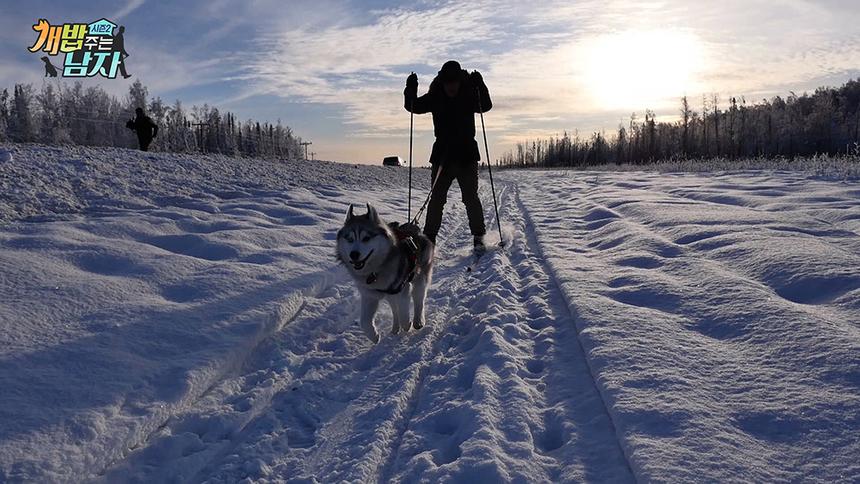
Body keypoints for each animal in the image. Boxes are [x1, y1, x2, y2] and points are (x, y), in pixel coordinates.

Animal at [334, 204, 434, 344]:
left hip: (420, 278)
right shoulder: (369, 295)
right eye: (349, 239)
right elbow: (364, 321)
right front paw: (374, 336)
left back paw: (418, 321)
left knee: (419, 299)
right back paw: (395, 328)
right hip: (390, 295)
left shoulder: (403, 288)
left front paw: (407, 324)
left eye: (366, 238)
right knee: (394, 308)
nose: (353, 255)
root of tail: (414, 228)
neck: (375, 271)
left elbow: (404, 310)